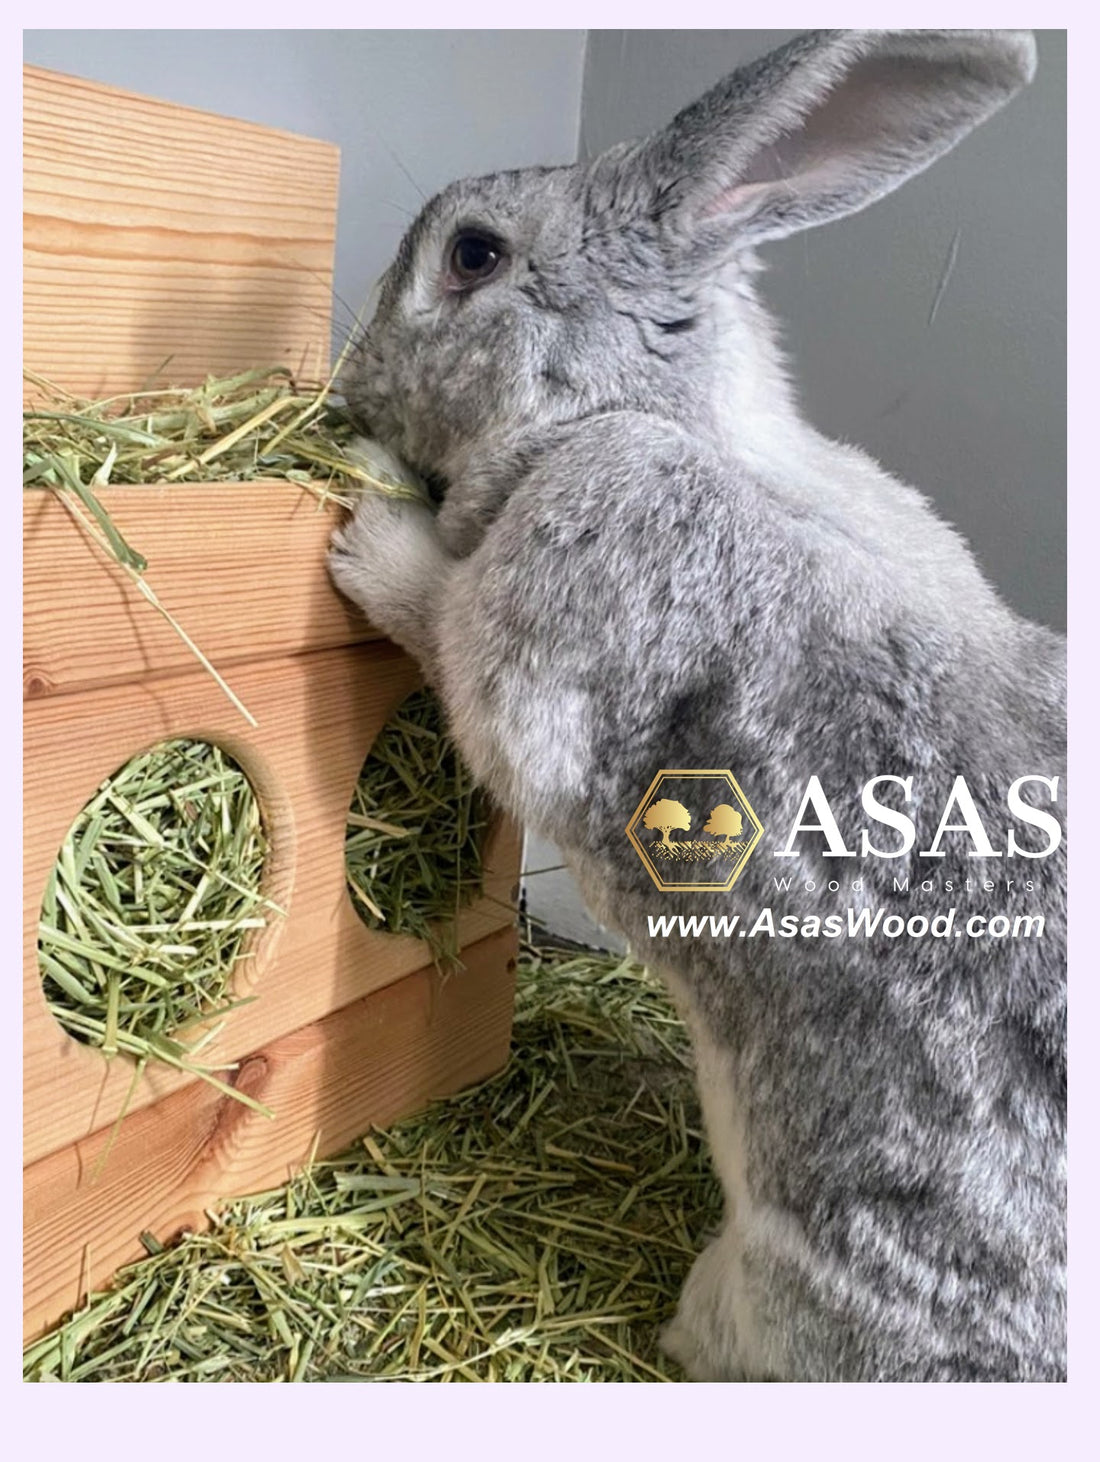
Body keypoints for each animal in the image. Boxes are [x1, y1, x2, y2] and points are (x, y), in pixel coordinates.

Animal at [328, 29, 1065, 1382]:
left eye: (473, 254)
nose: (352, 390)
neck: (636, 409)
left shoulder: (567, 563)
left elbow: (443, 627)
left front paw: (368, 519)